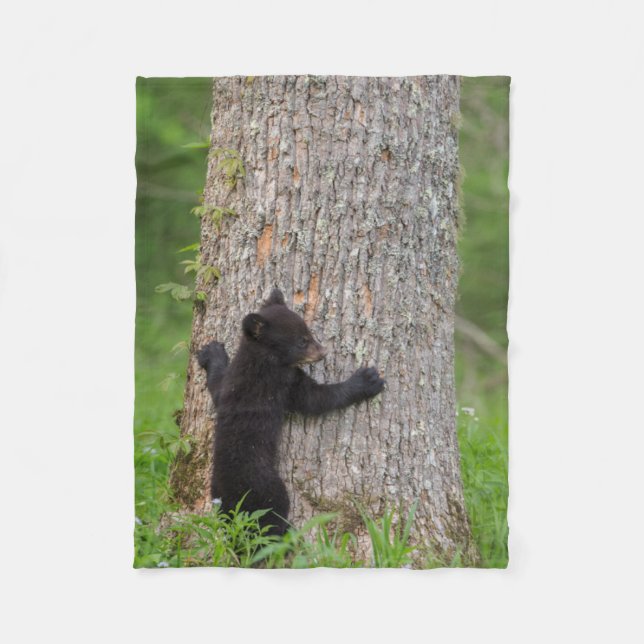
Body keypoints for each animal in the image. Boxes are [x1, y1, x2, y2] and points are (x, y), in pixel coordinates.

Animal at [197, 288, 385, 536]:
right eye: (302, 341)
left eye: (309, 332)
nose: (323, 351)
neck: (260, 357)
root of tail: (234, 502)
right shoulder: (282, 383)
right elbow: (316, 399)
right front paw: (366, 381)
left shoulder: (231, 384)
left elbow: (217, 387)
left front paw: (211, 351)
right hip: (269, 490)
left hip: (218, 498)